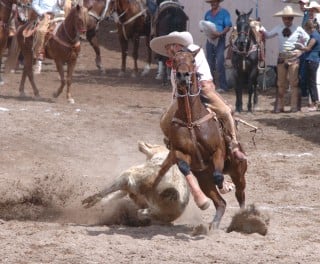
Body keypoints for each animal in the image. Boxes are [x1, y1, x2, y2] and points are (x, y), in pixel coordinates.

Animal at [156, 49, 246, 229]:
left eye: (192, 60)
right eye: (174, 60)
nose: (183, 75)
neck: (191, 120)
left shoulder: (218, 151)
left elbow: (218, 175)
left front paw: (224, 185)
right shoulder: (180, 152)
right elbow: (184, 167)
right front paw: (203, 202)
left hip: (238, 171)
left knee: (240, 194)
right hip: (204, 180)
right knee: (220, 202)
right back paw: (213, 225)